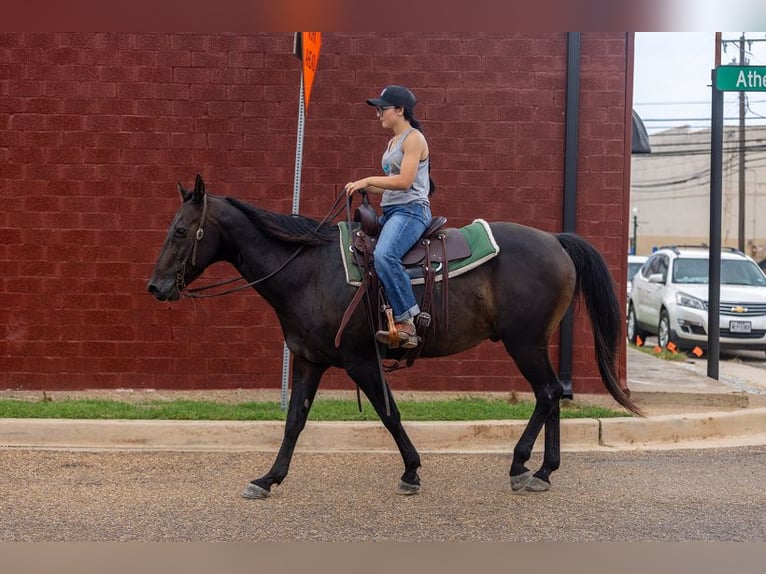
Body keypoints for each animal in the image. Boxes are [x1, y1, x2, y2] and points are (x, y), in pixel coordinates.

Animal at [147, 175, 642, 499]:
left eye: (180, 230)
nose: (156, 286)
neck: (308, 270)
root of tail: (557, 241)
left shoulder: (360, 360)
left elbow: (389, 414)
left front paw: (411, 472)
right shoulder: (308, 360)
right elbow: (293, 422)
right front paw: (268, 479)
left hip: (525, 343)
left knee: (547, 392)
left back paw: (524, 464)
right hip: (534, 344)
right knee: (551, 394)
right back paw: (543, 470)